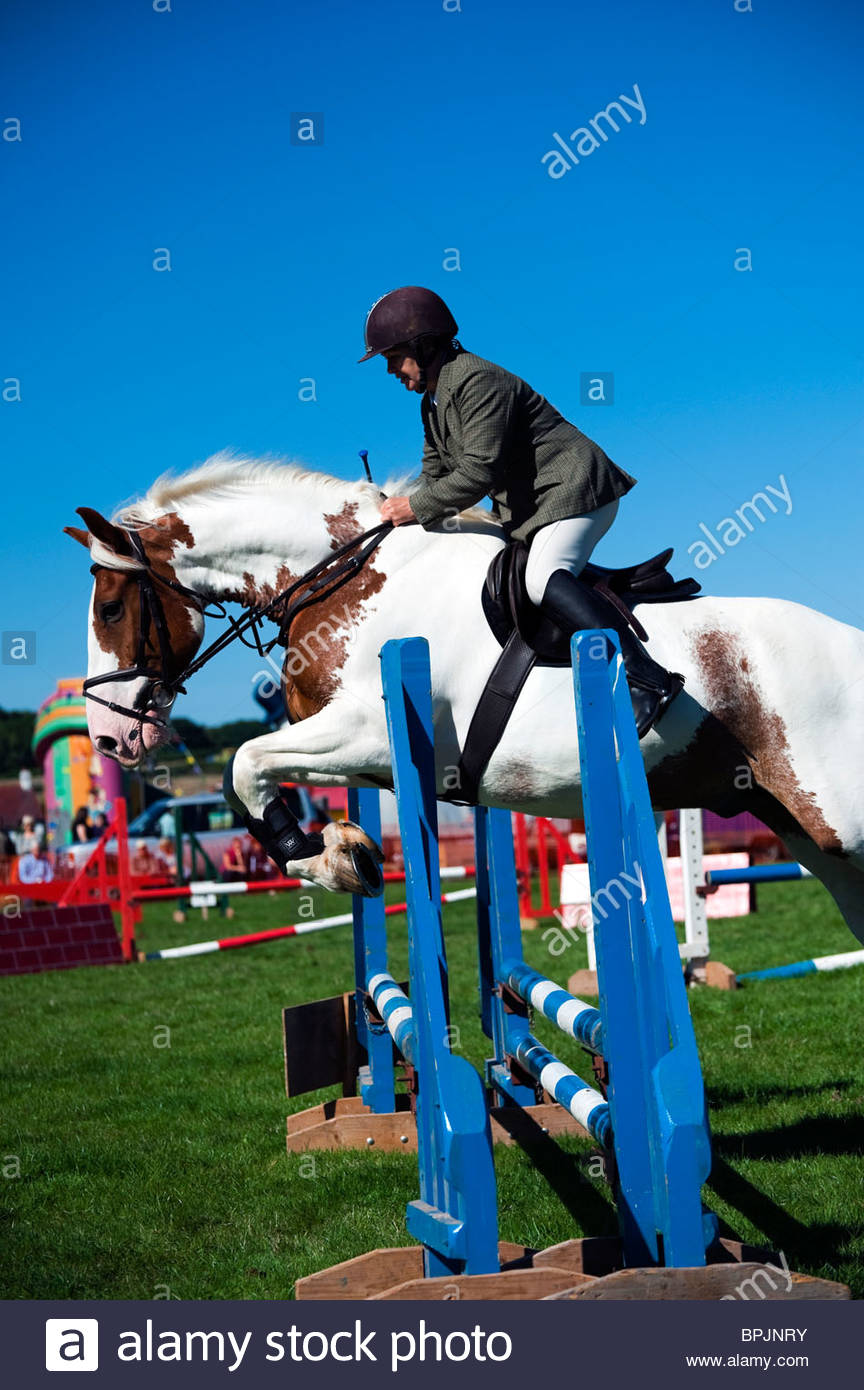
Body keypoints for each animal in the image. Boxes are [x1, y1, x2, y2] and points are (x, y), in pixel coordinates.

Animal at [65, 452, 864, 943]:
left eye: (110, 608)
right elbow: (263, 772)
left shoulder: (371, 730)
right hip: (807, 836)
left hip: (844, 828)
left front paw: (321, 858)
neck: (346, 577)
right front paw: (341, 847)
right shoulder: (368, 755)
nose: (109, 738)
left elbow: (244, 763)